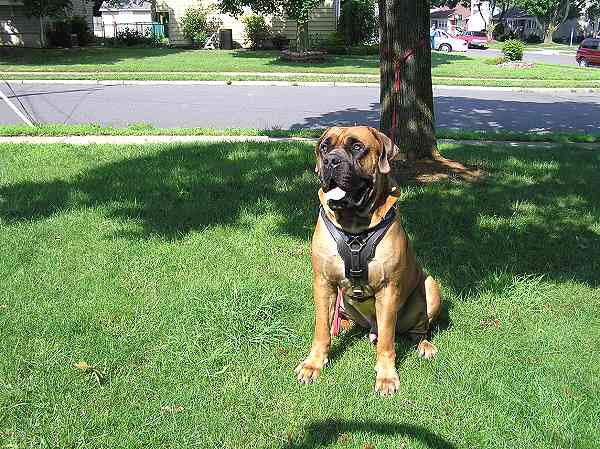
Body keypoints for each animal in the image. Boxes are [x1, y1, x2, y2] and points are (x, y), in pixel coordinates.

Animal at [294, 124, 440, 394]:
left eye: (356, 147)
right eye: (324, 147)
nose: (330, 161)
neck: (354, 226)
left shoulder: (388, 289)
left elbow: (387, 342)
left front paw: (386, 377)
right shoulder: (323, 282)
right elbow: (321, 329)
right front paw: (313, 364)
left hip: (430, 286)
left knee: (419, 328)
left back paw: (424, 345)